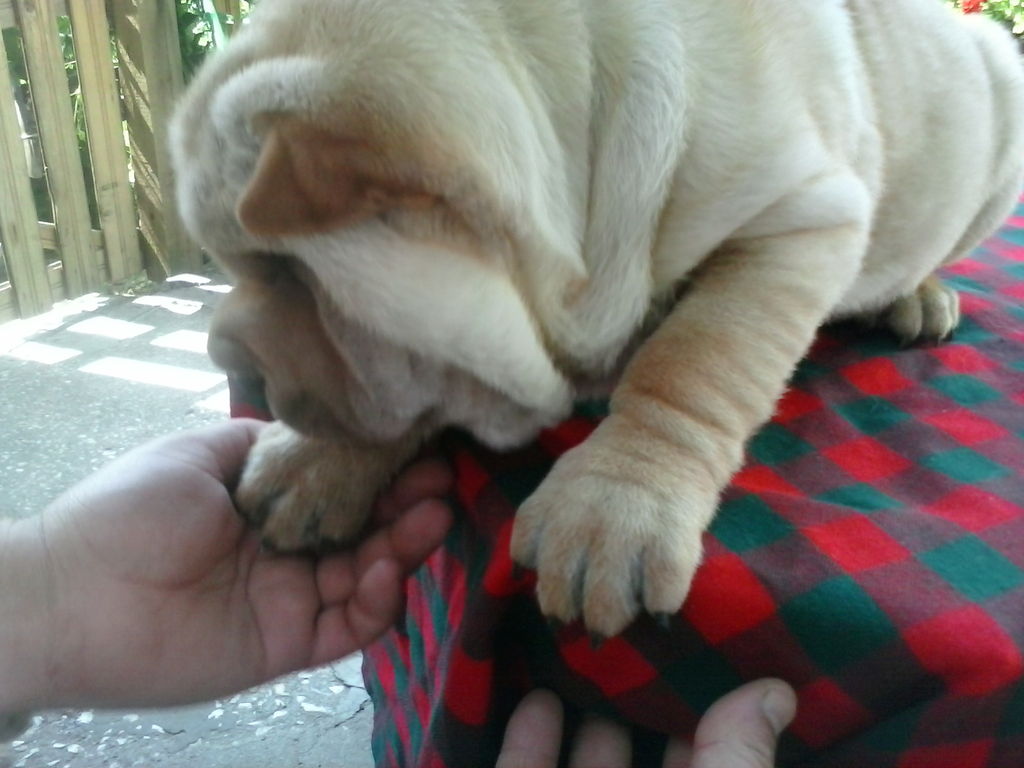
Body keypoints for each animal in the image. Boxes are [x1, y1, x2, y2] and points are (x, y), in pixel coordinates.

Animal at [170, 0, 1024, 638]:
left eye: (287, 274)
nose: (225, 357)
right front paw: (314, 461)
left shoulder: (798, 221)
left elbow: (692, 363)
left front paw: (615, 506)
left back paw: (916, 294)